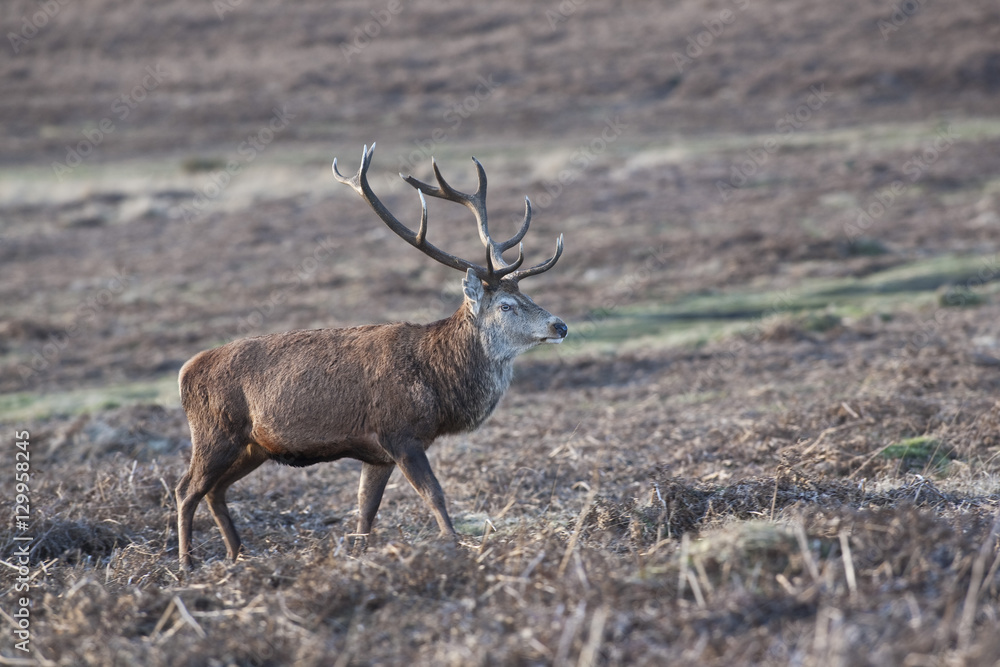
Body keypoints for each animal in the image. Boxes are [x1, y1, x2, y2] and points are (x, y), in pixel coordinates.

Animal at [175, 144, 567, 568]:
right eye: (507, 306)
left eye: (528, 296)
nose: (560, 325)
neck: (438, 384)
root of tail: (185, 370)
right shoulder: (399, 433)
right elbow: (434, 495)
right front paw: (454, 547)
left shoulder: (377, 454)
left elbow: (365, 511)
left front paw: (359, 557)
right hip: (214, 433)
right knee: (185, 490)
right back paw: (187, 563)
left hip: (253, 446)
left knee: (215, 491)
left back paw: (237, 555)